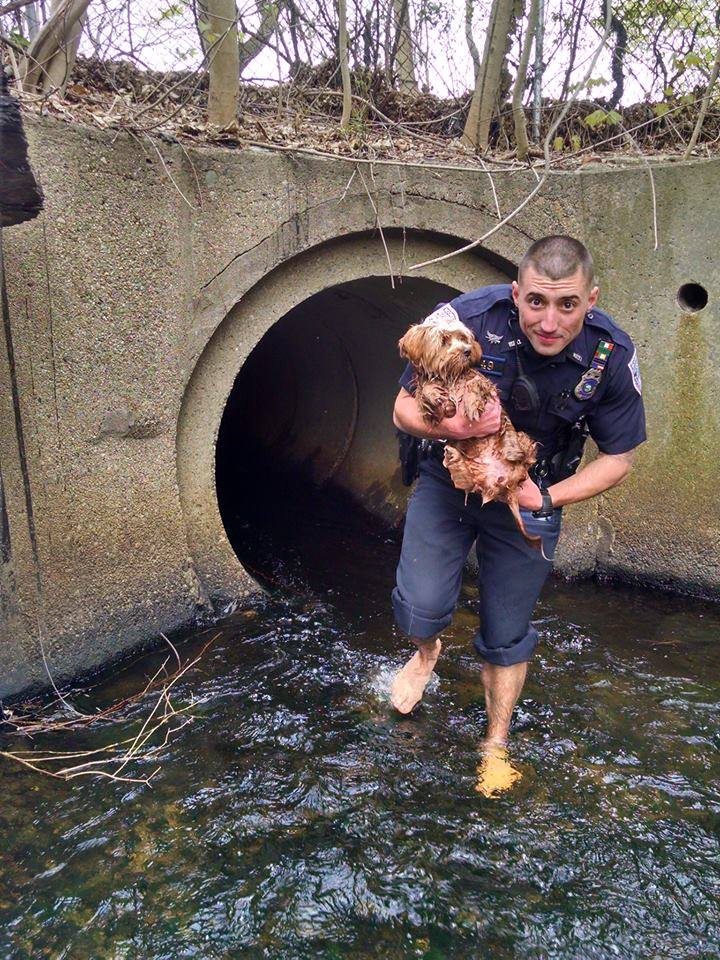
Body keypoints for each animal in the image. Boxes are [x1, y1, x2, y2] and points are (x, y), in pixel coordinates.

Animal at [400, 312, 540, 552]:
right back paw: (454, 458)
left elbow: (475, 384)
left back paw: (512, 449)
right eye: (444, 340)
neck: (451, 375)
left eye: (464, 338)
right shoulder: (430, 404)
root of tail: (506, 485)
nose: (467, 350)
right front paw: (434, 396)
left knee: (525, 455)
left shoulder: (485, 386)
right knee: (464, 481)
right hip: (471, 473)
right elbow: (425, 394)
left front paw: (472, 402)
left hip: (522, 441)